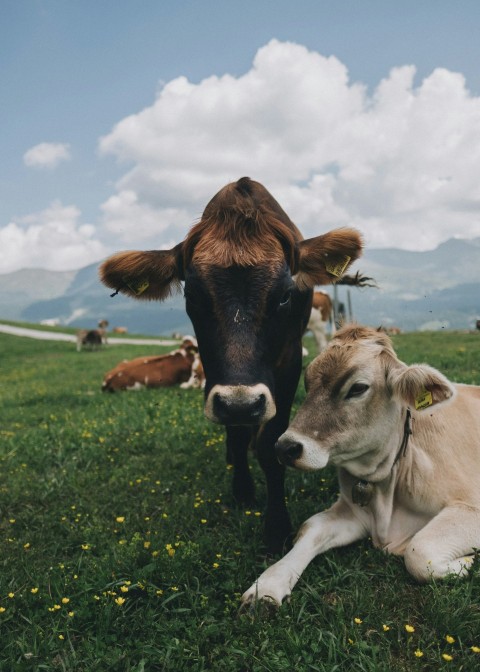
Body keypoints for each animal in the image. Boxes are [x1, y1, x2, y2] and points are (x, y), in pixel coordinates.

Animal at [99, 177, 364, 553]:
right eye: (192, 295)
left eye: (285, 295)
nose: (242, 404)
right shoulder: (214, 375)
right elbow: (237, 434)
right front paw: (242, 490)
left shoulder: (288, 363)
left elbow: (271, 444)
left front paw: (276, 526)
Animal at [241, 324, 480, 609]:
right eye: (307, 382)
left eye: (358, 388)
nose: (285, 447)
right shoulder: (352, 512)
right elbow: (311, 528)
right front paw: (266, 585)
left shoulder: (470, 506)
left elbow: (419, 552)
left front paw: (466, 562)